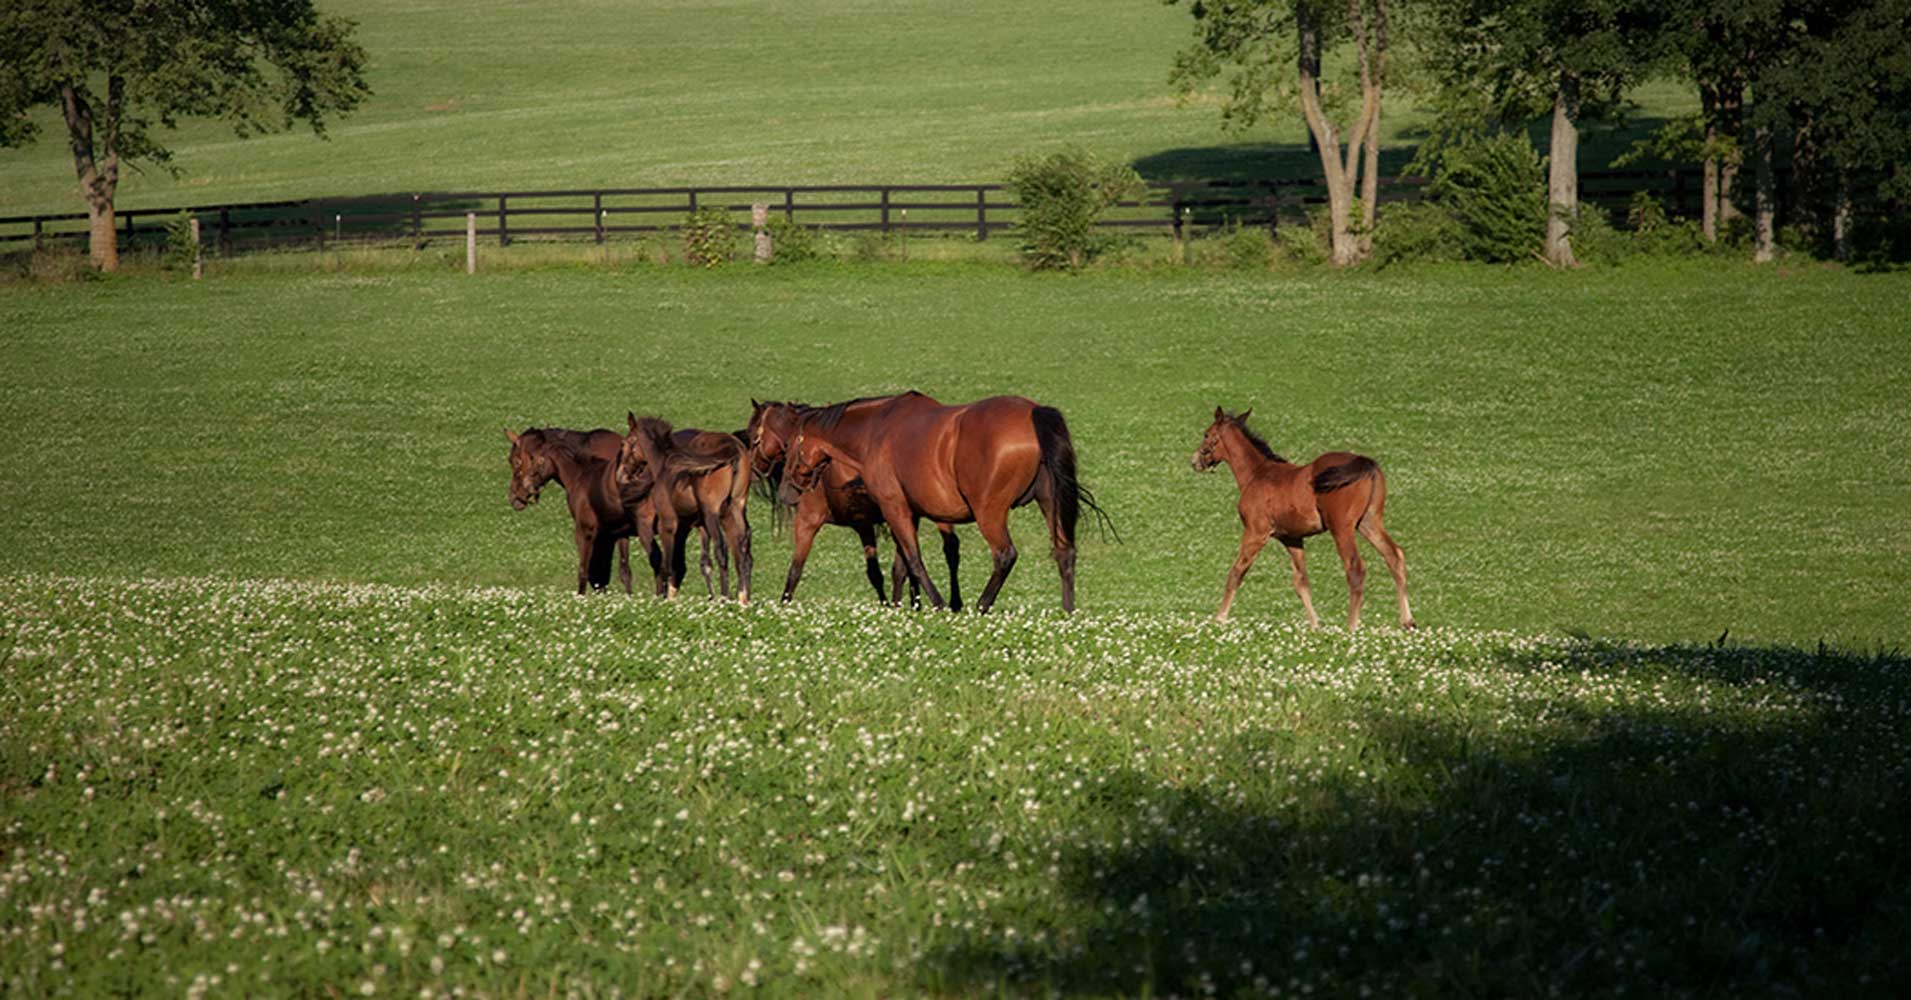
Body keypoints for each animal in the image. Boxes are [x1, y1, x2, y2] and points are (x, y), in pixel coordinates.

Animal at [616, 415, 753, 603]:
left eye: (624, 443)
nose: (621, 474)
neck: (663, 465)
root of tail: (732, 446)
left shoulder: (668, 523)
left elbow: (667, 564)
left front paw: (664, 599)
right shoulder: (689, 526)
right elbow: (685, 564)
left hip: (712, 514)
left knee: (722, 550)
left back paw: (725, 598)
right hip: (736, 508)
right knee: (744, 549)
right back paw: (743, 597)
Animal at [746, 396, 964, 608]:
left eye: (753, 434)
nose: (752, 469)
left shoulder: (808, 521)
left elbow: (794, 571)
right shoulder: (866, 525)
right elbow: (881, 572)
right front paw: (894, 605)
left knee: (948, 551)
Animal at [777, 394, 1106, 614]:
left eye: (789, 445)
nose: (784, 493)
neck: (876, 430)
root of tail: (1033, 412)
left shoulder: (894, 509)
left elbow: (914, 560)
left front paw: (938, 604)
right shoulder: (910, 513)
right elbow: (902, 566)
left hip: (990, 513)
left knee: (1005, 555)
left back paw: (981, 605)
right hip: (1050, 502)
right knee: (1064, 552)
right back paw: (1067, 612)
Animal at [1191, 408, 1414, 630]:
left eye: (1206, 434)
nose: (1194, 461)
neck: (1257, 474)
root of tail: (1365, 462)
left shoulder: (1256, 532)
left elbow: (1236, 572)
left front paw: (1219, 618)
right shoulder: (1292, 539)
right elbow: (1301, 583)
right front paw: (1316, 625)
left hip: (1342, 528)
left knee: (1356, 569)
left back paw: (1351, 627)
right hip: (1369, 523)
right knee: (1394, 556)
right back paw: (1408, 621)